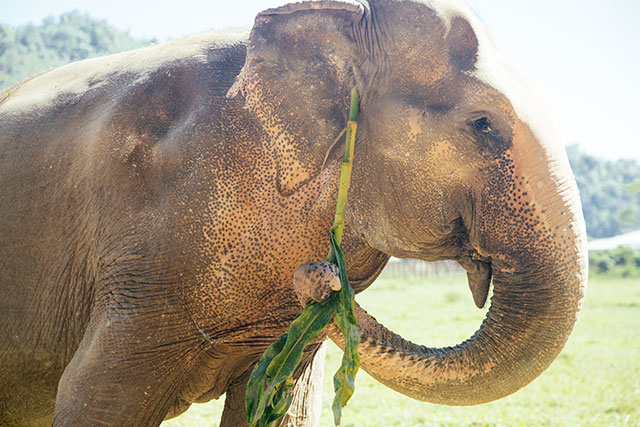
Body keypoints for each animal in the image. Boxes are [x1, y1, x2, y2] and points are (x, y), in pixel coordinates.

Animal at [0, 0, 588, 425]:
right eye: (483, 125)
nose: (317, 274)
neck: (344, 18)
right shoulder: (142, 259)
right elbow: (91, 394)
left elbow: (283, 409)